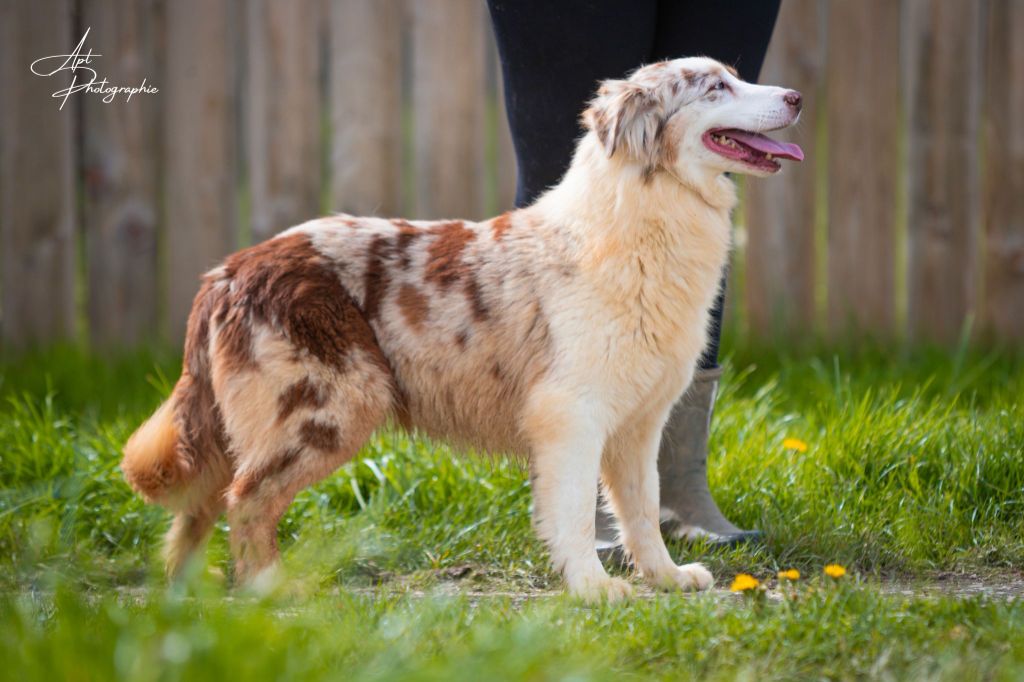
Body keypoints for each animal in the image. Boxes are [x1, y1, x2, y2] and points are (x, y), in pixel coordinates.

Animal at [123, 58, 802, 602]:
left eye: (735, 75)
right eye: (716, 86)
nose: (797, 96)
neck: (643, 222)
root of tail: (228, 270)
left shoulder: (639, 422)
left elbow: (641, 510)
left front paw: (665, 578)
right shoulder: (571, 415)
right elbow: (577, 514)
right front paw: (593, 588)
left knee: (199, 507)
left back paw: (188, 597)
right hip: (333, 405)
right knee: (247, 501)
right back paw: (269, 589)